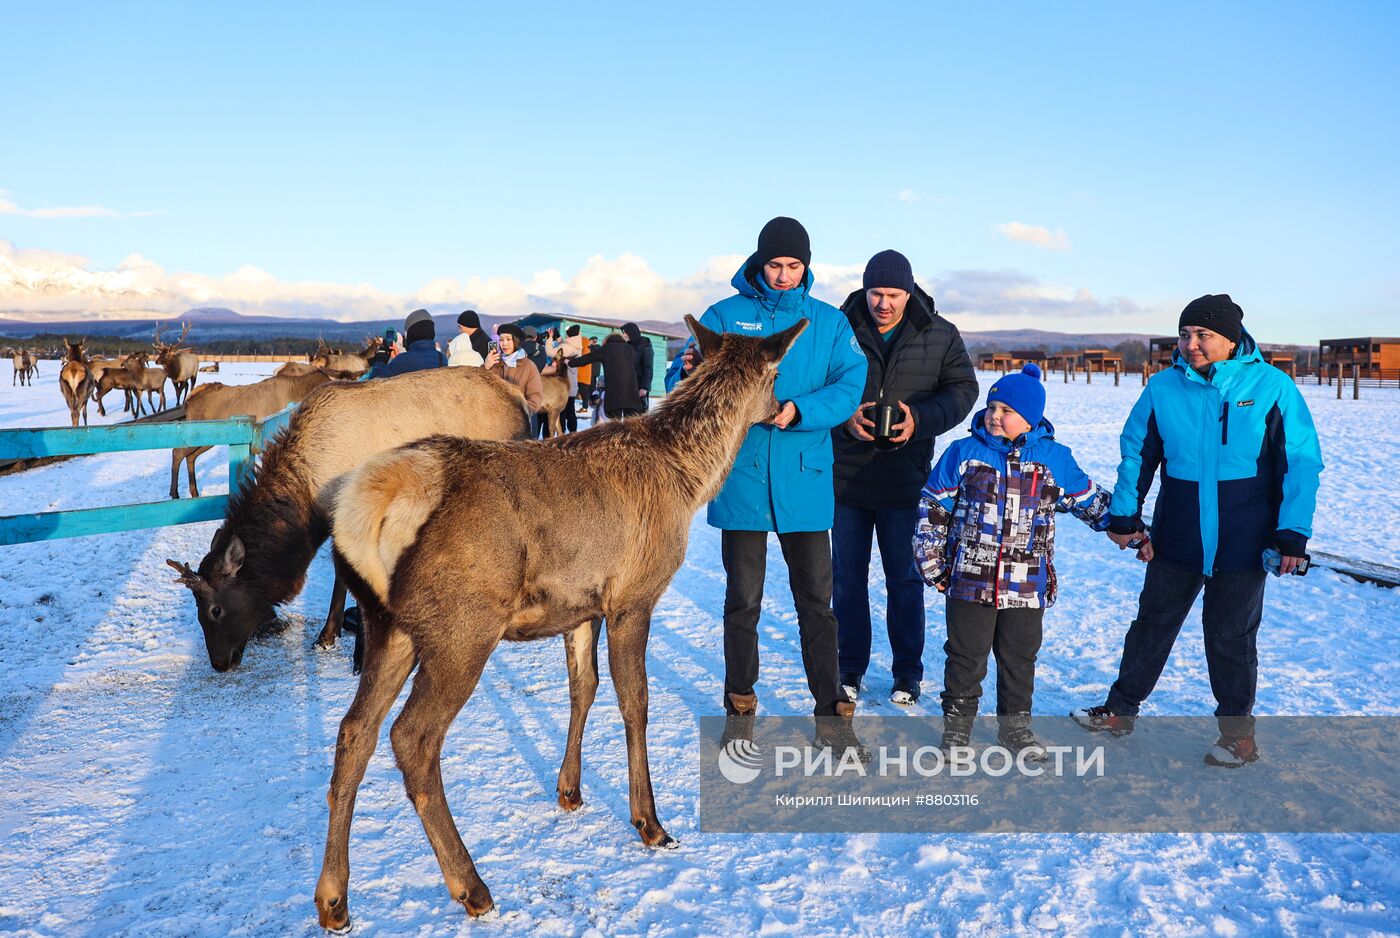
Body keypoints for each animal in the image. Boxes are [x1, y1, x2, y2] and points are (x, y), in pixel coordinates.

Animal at [171, 366, 338, 498]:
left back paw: (194, 492)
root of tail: (189, 400)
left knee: (190, 457)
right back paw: (174, 493)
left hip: (208, 438)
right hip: (195, 432)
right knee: (177, 452)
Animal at [312, 316, 806, 924]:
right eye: (776, 373)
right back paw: (471, 886)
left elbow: (583, 688)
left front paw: (569, 791)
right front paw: (651, 822)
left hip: (389, 624)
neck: (688, 484)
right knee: (412, 737)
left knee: (354, 730)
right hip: (462, 627)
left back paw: (333, 899)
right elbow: (634, 700)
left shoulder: (580, 606)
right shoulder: (633, 596)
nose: (784, 409)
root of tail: (370, 503)